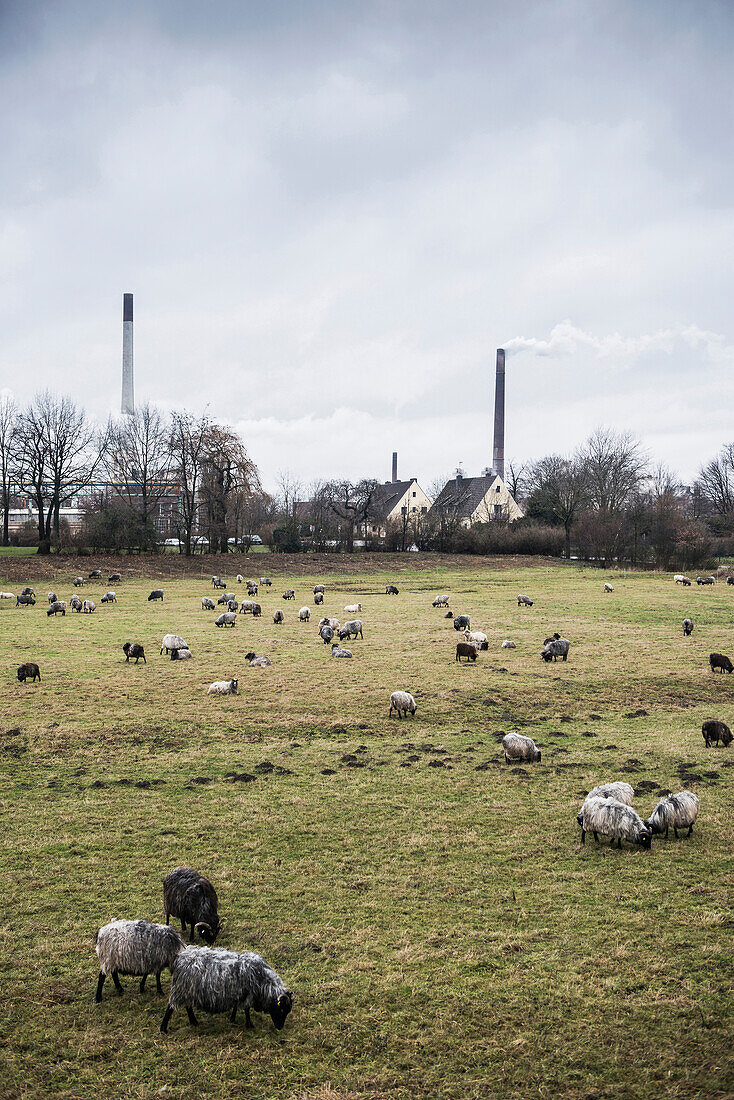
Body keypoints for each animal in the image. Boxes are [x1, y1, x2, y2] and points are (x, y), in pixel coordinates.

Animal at [160, 941, 292, 1034]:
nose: (280, 1027)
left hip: (189, 990)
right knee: (170, 1007)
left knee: (188, 1006)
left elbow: (236, 1006)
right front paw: (249, 1024)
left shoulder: (238, 992)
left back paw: (194, 1022)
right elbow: (246, 1009)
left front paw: (232, 1019)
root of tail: (179, 958)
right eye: (281, 1009)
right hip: (181, 989)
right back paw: (163, 1028)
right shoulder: (247, 995)